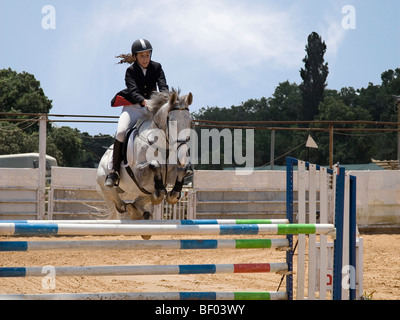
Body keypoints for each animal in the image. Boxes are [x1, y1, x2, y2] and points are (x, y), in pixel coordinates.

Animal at [95, 89, 192, 220]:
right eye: (172, 123)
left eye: (190, 122)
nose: (182, 152)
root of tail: (102, 159)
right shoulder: (139, 174)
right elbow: (154, 165)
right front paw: (160, 193)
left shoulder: (170, 174)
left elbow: (181, 170)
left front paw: (173, 194)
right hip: (107, 190)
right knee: (120, 206)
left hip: (131, 191)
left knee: (135, 202)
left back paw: (139, 211)